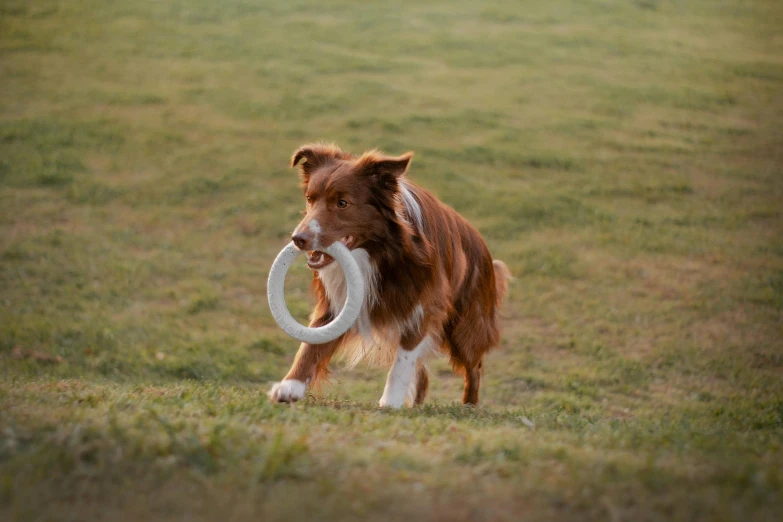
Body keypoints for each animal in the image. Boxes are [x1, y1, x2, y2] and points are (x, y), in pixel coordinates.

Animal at [270, 143, 512, 406]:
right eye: (310, 199)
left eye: (342, 203)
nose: (298, 239)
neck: (377, 252)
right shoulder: (337, 302)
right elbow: (310, 346)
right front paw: (289, 386)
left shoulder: (423, 305)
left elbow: (403, 360)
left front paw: (390, 401)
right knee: (424, 373)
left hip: (465, 326)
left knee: (473, 366)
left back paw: (469, 405)